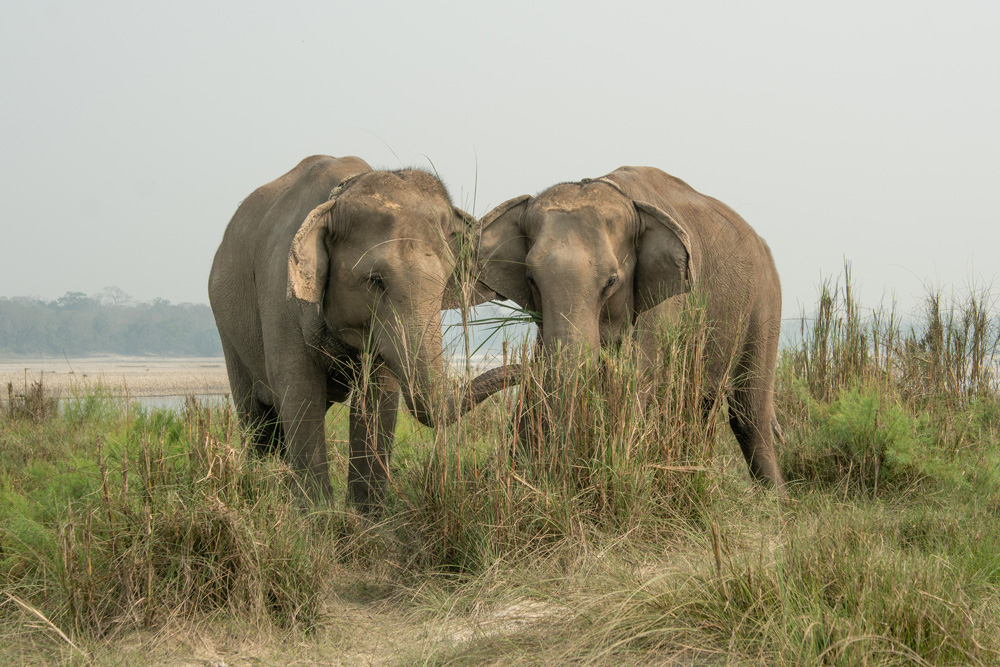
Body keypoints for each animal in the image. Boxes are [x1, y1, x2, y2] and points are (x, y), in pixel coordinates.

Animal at [209, 155, 512, 509]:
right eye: (375, 281)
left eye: (446, 280)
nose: (524, 368)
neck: (341, 194)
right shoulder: (279, 297)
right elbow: (300, 391)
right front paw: (318, 513)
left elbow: (378, 397)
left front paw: (367, 514)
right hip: (228, 329)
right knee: (256, 419)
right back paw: (260, 483)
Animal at [478, 166, 785, 489]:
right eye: (530, 279)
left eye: (611, 282)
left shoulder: (666, 303)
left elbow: (637, 384)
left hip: (765, 304)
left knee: (748, 415)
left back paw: (774, 497)